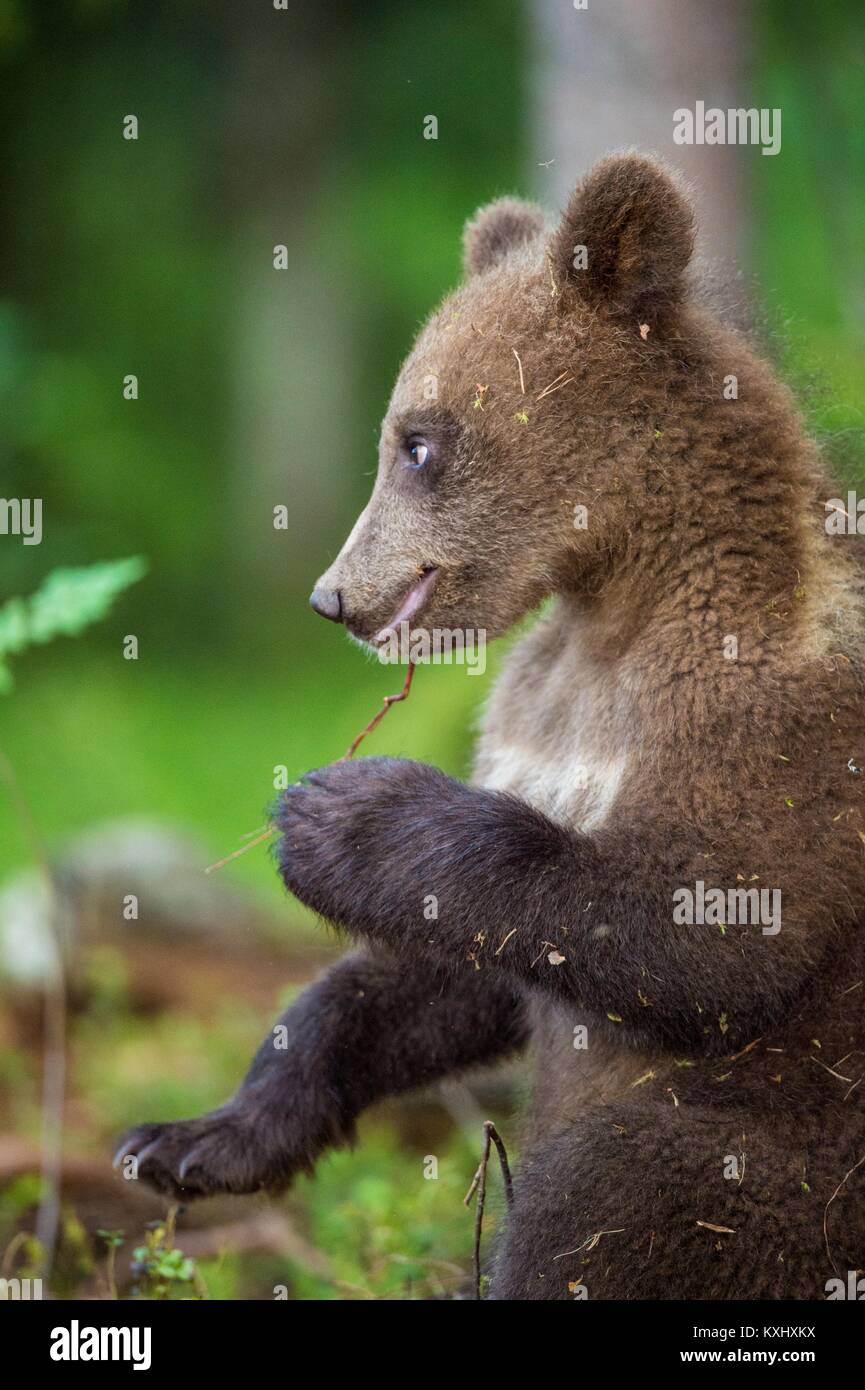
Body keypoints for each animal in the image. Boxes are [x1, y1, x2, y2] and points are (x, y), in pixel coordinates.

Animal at [117, 152, 865, 1301]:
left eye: (417, 443)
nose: (333, 597)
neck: (615, 604)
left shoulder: (765, 717)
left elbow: (707, 925)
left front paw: (340, 810)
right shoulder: (536, 717)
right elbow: (443, 967)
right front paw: (192, 1137)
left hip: (804, 1164)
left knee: (611, 1189)